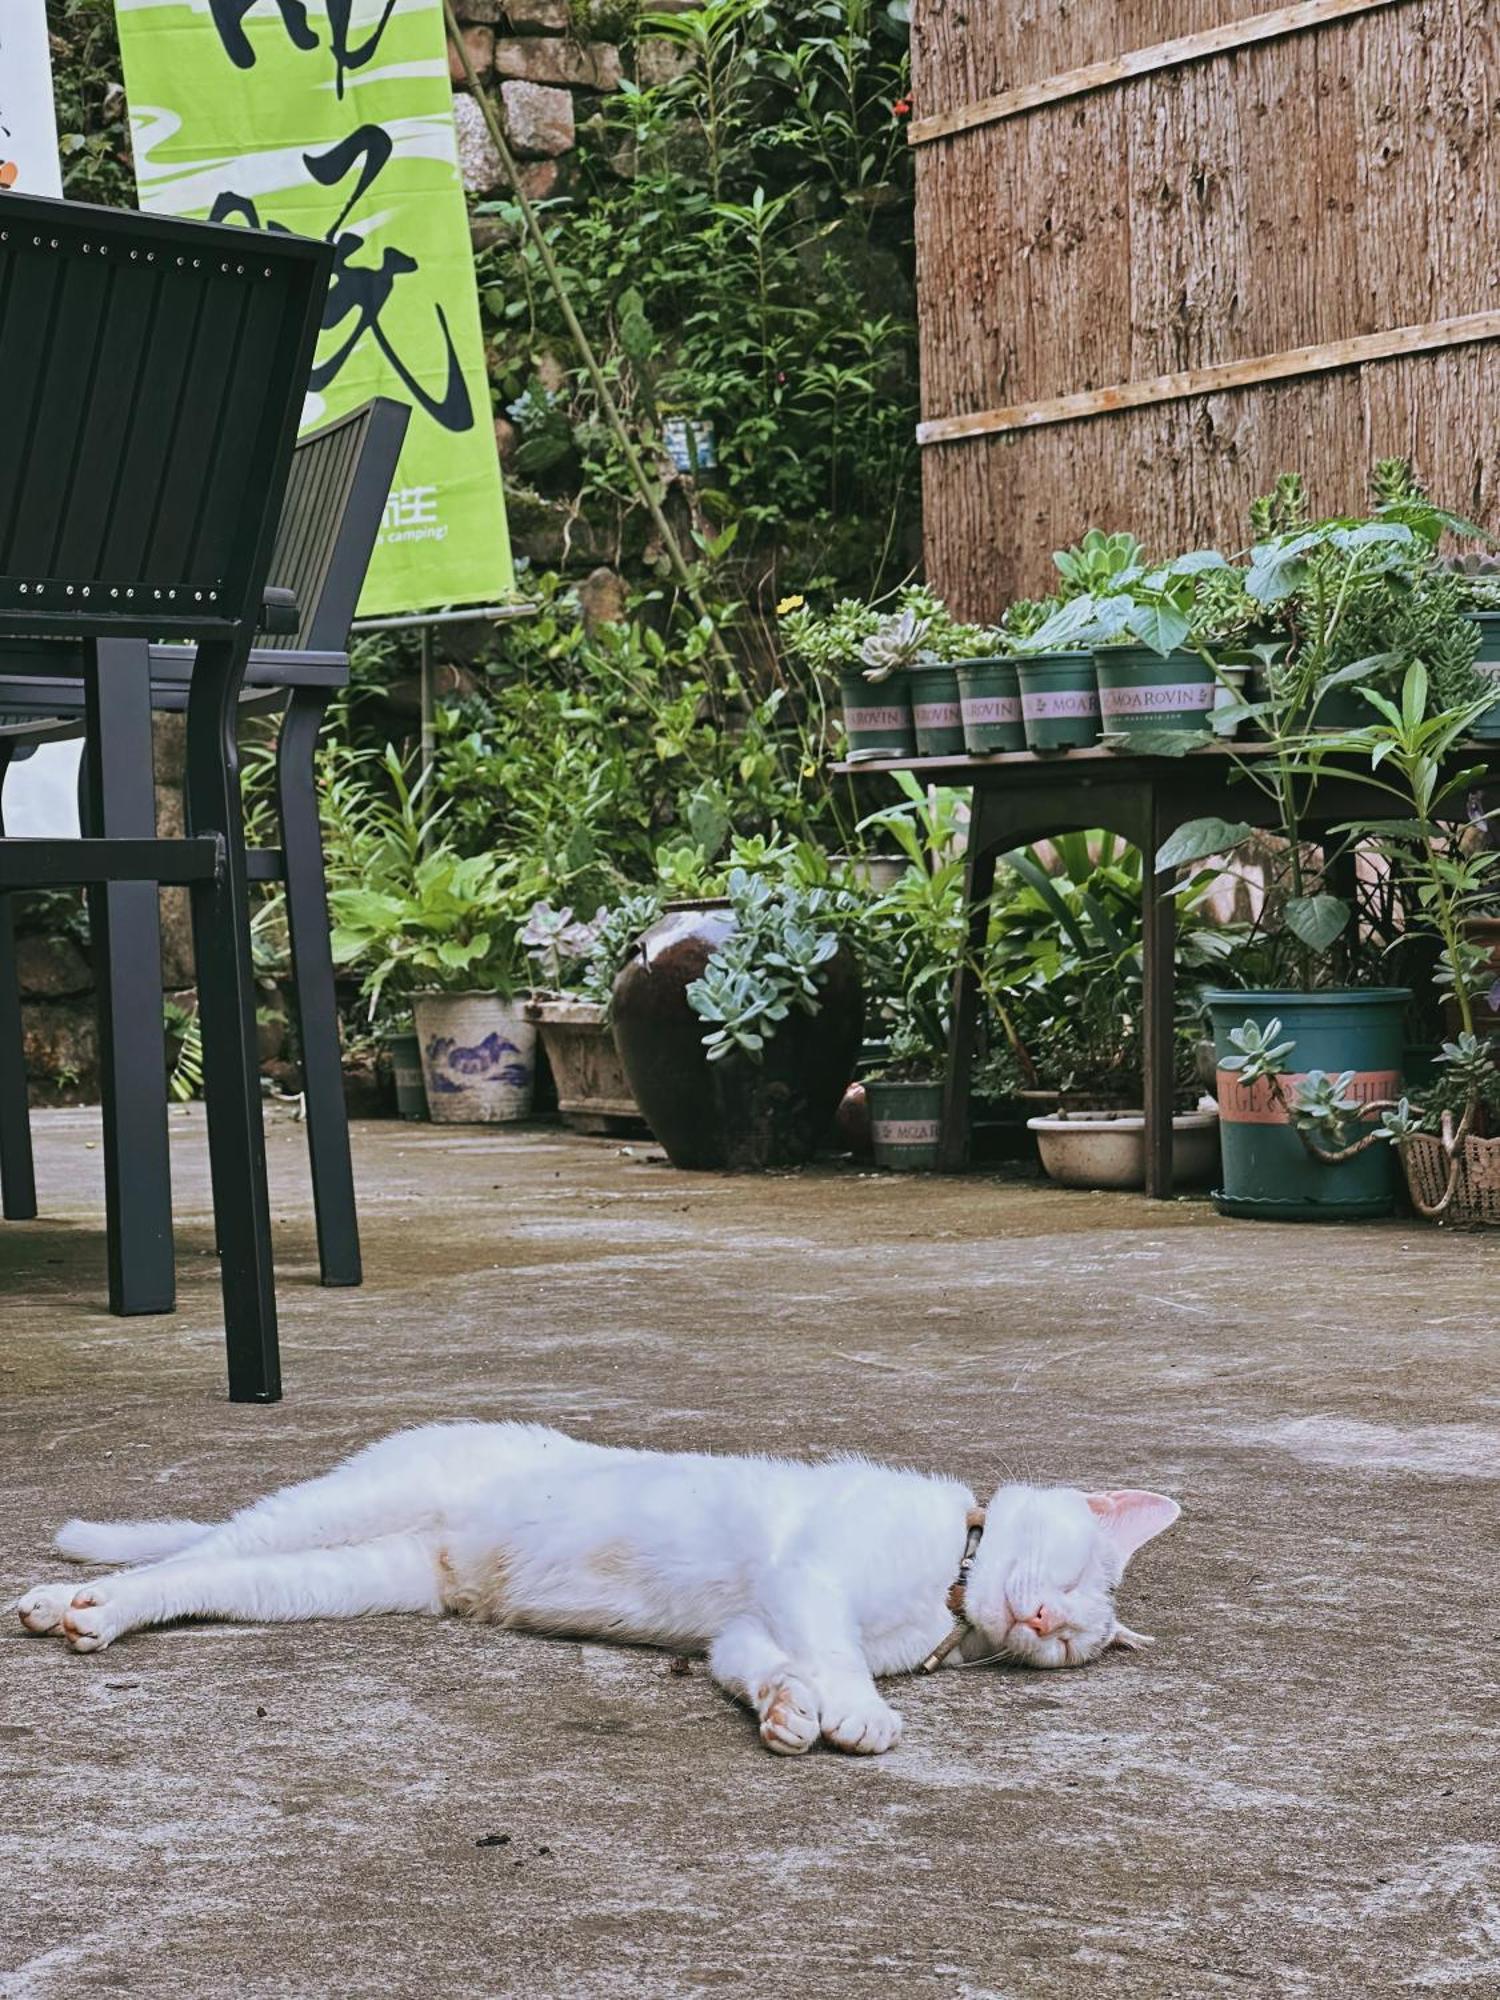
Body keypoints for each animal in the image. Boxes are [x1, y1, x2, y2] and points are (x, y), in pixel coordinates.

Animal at [14, 1424, 1184, 1752]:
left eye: (1071, 1642)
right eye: (1073, 1574)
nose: (1045, 1616)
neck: (947, 1588)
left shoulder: (746, 1627)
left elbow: (761, 1665)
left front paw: (790, 1710)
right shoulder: (810, 1576)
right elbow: (837, 1649)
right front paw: (855, 1708)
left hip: (341, 1577)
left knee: (218, 1576)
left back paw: (90, 1613)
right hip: (340, 1508)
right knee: (195, 1550)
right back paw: (66, 1599)